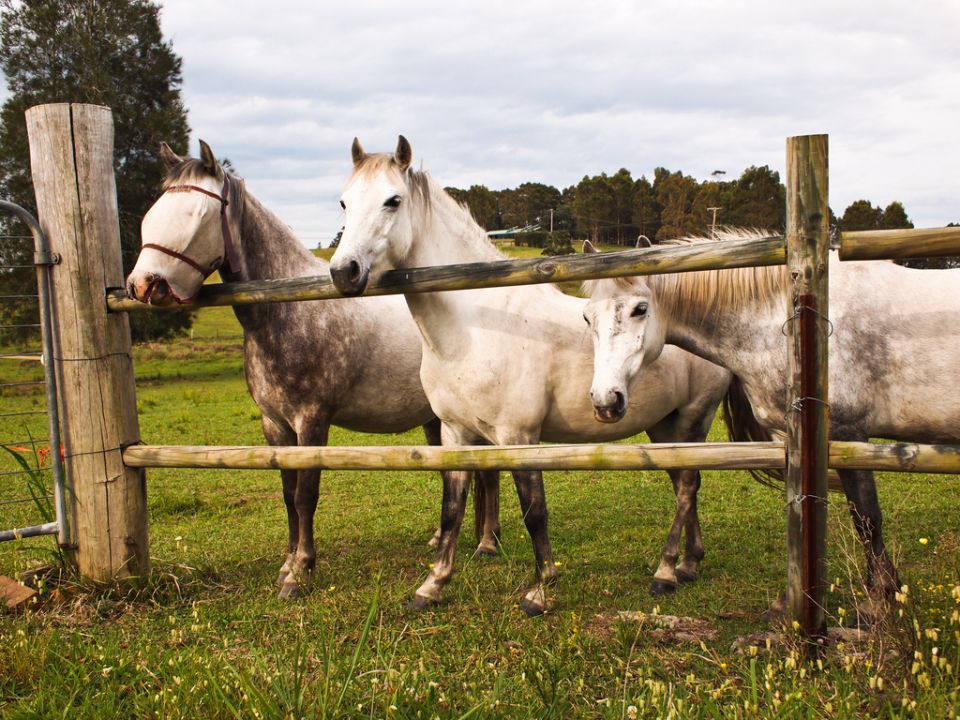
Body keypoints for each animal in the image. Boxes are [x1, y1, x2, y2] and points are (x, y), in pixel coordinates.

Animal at [326, 138, 732, 616]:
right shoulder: (455, 433)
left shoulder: (518, 435)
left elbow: (533, 510)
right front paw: (432, 586)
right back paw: (689, 562)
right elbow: (452, 508)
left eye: (393, 200)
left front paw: (540, 590)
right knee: (685, 482)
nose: (343, 271)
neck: (475, 327)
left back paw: (667, 571)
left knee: (687, 485)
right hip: (664, 426)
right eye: (344, 202)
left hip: (693, 418)